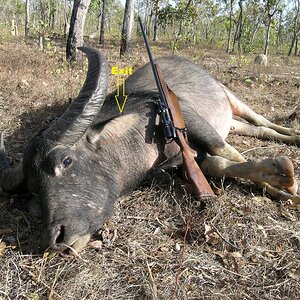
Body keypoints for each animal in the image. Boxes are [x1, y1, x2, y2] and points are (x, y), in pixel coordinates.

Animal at [0, 47, 298, 253]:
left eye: (65, 160)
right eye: (34, 190)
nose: (55, 239)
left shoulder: (191, 121)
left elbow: (225, 151)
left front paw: (287, 186)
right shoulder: (180, 164)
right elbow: (216, 163)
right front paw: (277, 181)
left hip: (232, 98)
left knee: (262, 122)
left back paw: (293, 134)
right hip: (232, 122)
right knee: (257, 130)